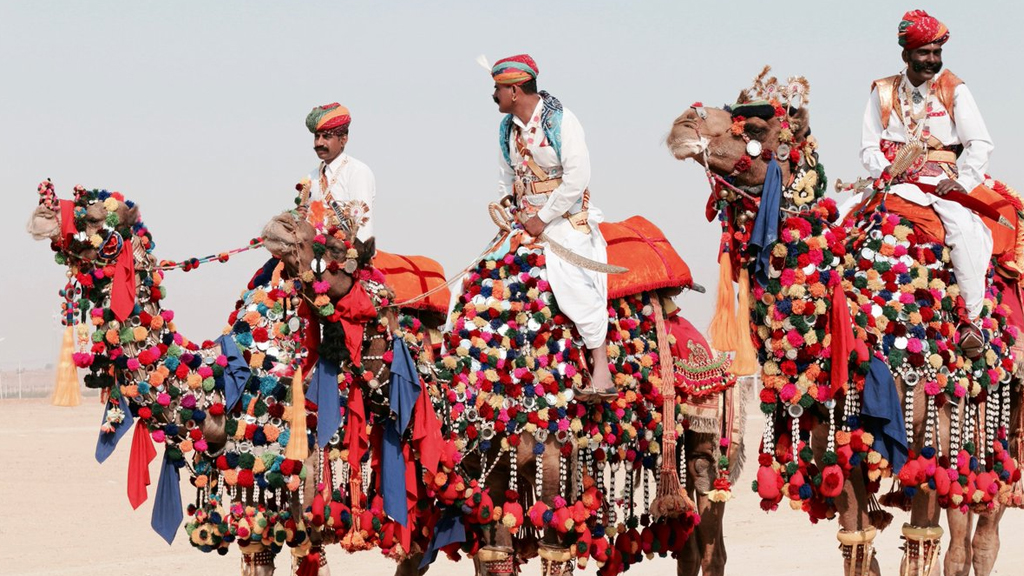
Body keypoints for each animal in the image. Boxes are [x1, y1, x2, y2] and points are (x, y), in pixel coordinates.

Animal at [663, 68, 1024, 573]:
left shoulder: (928, 432)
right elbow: (858, 543)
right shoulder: (838, 444)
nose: (683, 121)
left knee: (982, 529)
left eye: (752, 128)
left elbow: (922, 541)